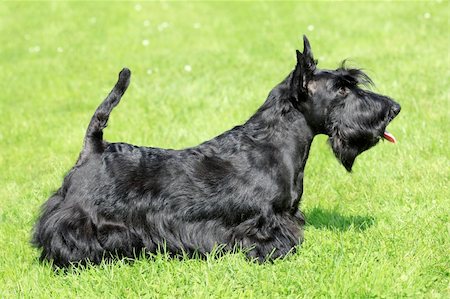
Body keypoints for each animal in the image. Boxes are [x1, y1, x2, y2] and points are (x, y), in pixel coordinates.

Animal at [32, 35, 400, 268]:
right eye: (341, 89)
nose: (393, 108)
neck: (272, 144)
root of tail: (94, 147)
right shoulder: (264, 219)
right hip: (81, 216)